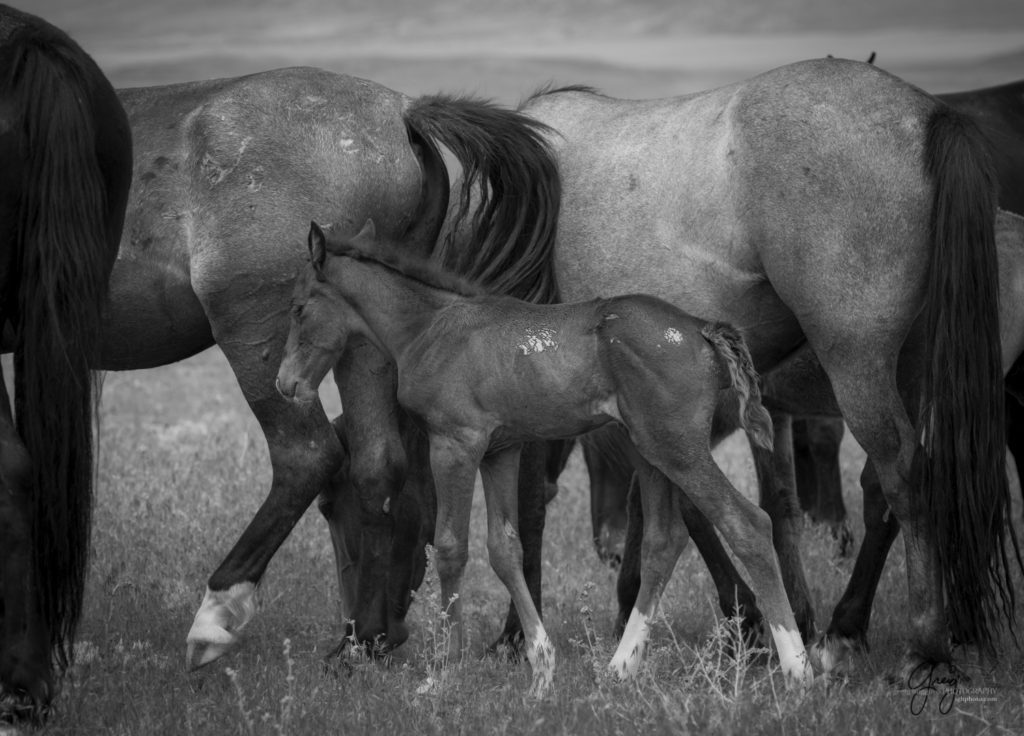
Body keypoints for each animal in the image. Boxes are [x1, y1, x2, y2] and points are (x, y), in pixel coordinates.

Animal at [276, 220, 811, 696]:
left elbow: (450, 547)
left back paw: (797, 669)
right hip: (648, 450)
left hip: (677, 447)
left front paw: (443, 673)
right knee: (663, 540)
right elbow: (505, 549)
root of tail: (702, 329)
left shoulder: (455, 443)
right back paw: (619, 668)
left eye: (299, 308)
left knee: (747, 522)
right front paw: (541, 665)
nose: (286, 384)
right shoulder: (501, 450)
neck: (431, 327)